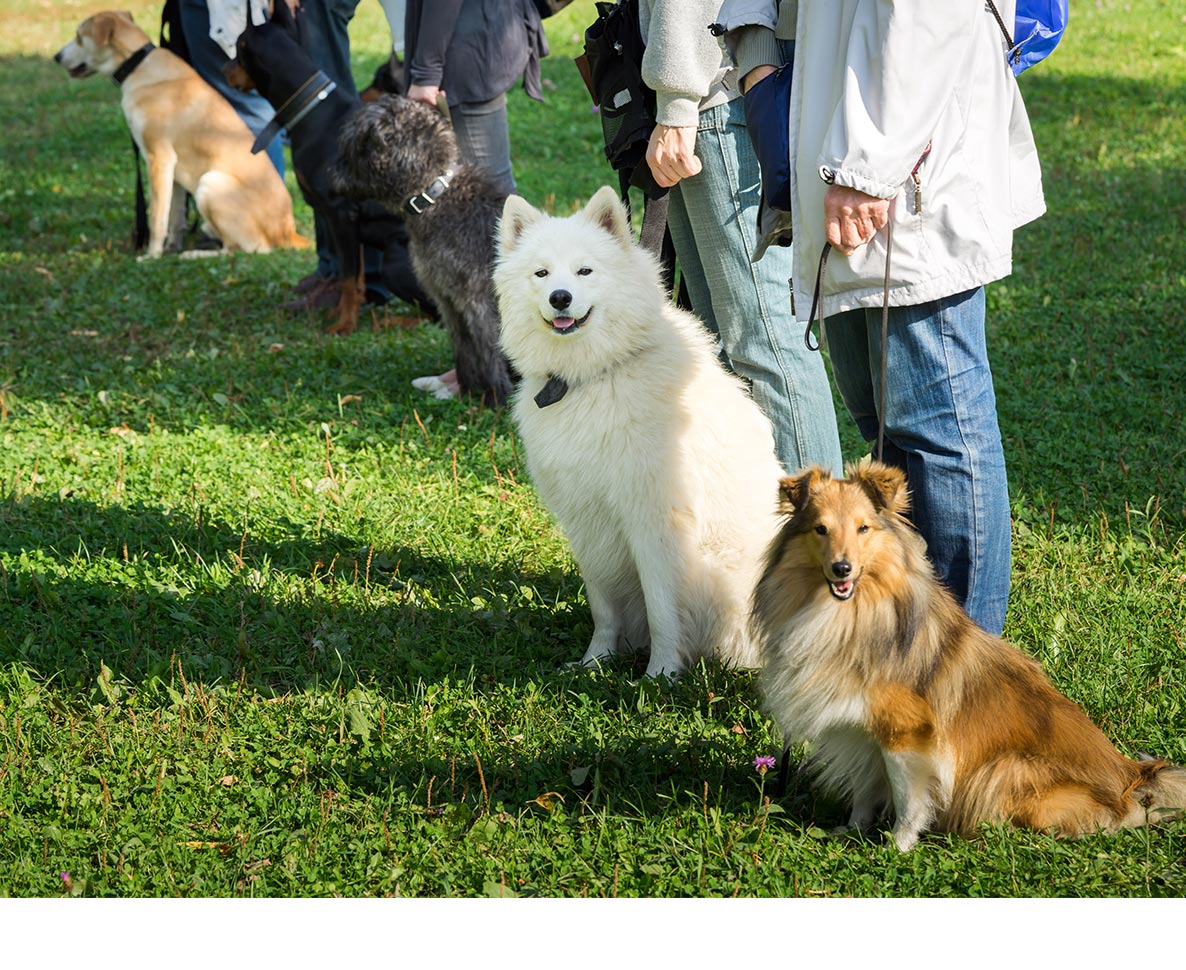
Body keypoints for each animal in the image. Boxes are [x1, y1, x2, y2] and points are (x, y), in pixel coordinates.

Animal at [55, 9, 305, 257]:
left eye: (79, 36)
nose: (56, 56)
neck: (137, 66)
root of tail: (288, 232)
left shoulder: (159, 159)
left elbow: (157, 217)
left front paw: (151, 256)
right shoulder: (174, 171)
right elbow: (174, 216)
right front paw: (170, 249)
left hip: (210, 183)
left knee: (243, 249)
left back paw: (196, 254)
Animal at [222, 3, 431, 334]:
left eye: (238, 51)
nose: (222, 69)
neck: (311, 109)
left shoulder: (340, 213)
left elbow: (346, 277)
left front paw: (343, 326)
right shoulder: (349, 224)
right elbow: (355, 278)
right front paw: (341, 313)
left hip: (395, 258)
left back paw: (392, 321)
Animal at [495, 184, 792, 678]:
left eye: (585, 270)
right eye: (541, 273)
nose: (560, 298)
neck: (594, 375)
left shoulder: (654, 522)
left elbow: (662, 608)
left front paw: (661, 675)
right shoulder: (587, 519)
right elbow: (603, 607)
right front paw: (595, 662)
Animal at [754, 460, 1181, 844]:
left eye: (863, 528)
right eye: (820, 529)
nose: (842, 569)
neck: (851, 613)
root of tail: (1131, 778)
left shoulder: (908, 736)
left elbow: (909, 799)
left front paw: (897, 846)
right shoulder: (861, 731)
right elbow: (864, 787)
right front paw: (853, 830)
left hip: (1005, 770)